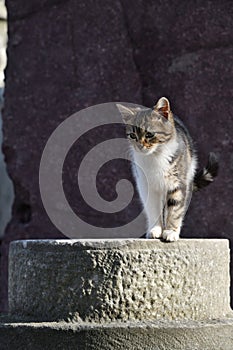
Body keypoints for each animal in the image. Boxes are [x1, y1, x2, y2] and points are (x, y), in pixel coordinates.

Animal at [116, 97, 218, 242]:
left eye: (149, 134)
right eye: (132, 135)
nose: (140, 146)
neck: (155, 156)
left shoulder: (178, 183)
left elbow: (175, 209)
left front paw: (170, 232)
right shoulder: (147, 186)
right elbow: (153, 208)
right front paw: (155, 230)